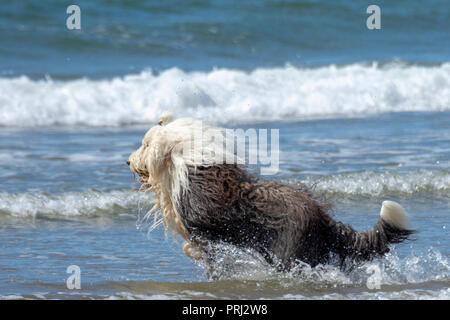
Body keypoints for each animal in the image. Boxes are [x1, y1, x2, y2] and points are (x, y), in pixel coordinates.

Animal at [127, 113, 414, 278]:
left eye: (144, 144)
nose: (128, 161)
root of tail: (323, 218)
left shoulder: (205, 231)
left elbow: (199, 247)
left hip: (288, 252)